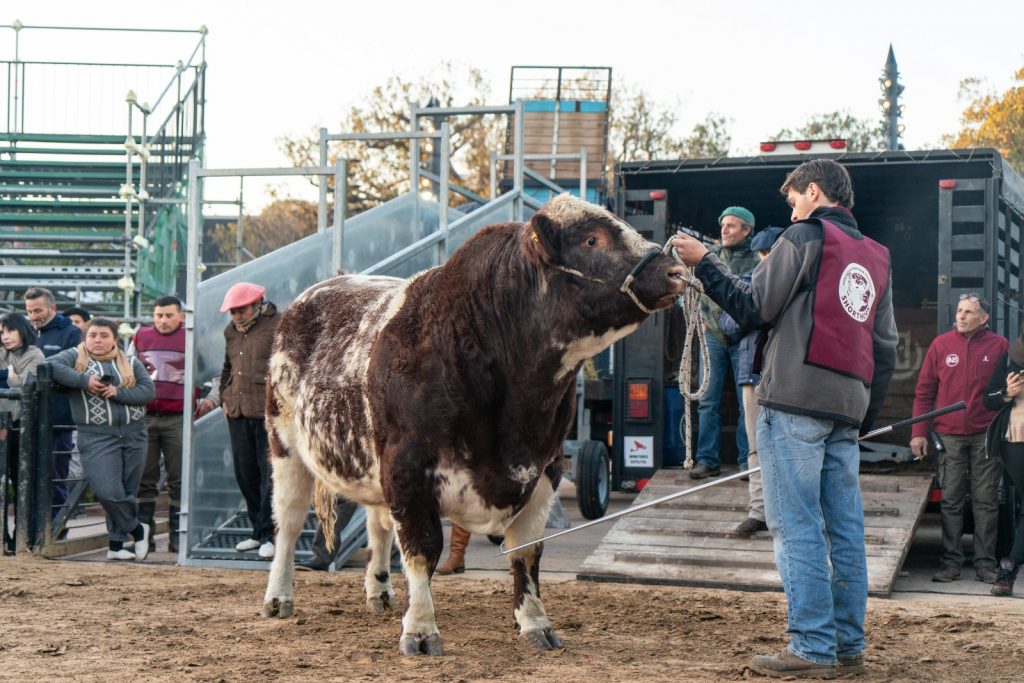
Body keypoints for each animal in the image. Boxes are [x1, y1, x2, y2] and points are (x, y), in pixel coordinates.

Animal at [262, 194, 688, 655]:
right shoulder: (407, 469)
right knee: (288, 522)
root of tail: (319, 291)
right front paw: (421, 629)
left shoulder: (545, 467)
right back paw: (278, 598)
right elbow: (422, 548)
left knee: (376, 526)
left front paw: (535, 622)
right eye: (592, 239)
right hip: (285, 446)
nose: (675, 271)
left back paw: (380, 590)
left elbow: (526, 551)